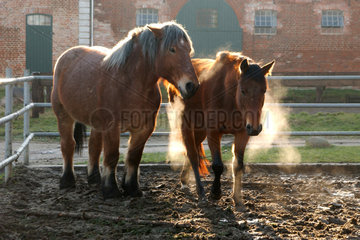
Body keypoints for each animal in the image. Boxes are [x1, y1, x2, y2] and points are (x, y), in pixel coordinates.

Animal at [51, 21, 198, 199]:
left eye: (189, 50)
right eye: (172, 49)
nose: (191, 86)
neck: (130, 84)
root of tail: (66, 56)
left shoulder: (144, 129)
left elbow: (133, 156)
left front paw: (132, 187)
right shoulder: (112, 127)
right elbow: (112, 155)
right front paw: (111, 189)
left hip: (96, 123)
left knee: (94, 147)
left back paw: (94, 179)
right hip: (64, 116)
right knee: (68, 145)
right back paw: (67, 180)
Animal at [167, 51, 276, 203]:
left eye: (264, 90)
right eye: (243, 90)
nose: (255, 128)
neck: (228, 97)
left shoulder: (243, 133)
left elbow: (238, 165)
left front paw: (237, 196)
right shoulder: (213, 133)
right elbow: (217, 166)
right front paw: (215, 192)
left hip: (200, 130)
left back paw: (184, 180)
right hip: (186, 124)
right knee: (192, 154)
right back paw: (198, 190)